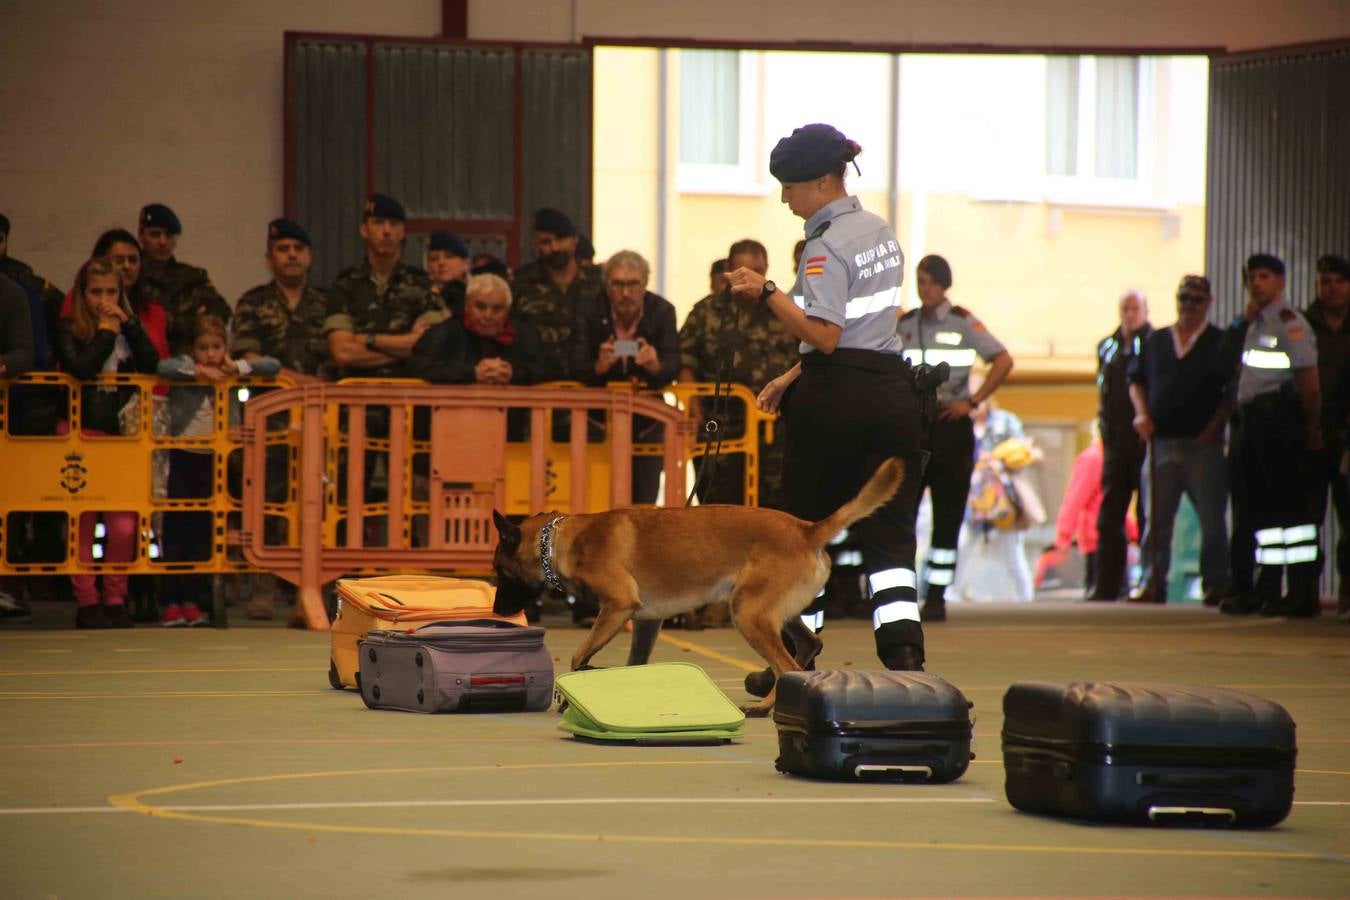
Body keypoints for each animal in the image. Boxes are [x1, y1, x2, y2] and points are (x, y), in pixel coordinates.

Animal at [491, 461, 901, 712]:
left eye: (498, 570)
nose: (496, 611)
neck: (558, 540)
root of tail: (807, 529)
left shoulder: (617, 607)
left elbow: (578, 656)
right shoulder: (646, 622)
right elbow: (635, 662)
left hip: (748, 614)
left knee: (785, 663)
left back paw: (766, 707)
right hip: (773, 612)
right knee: (809, 644)